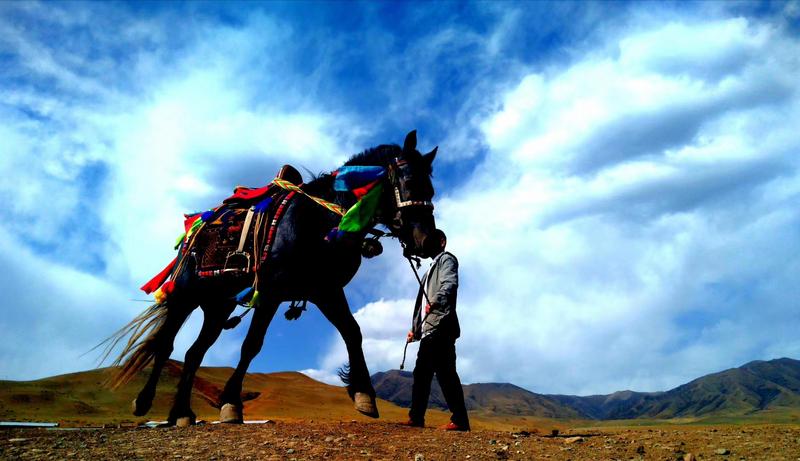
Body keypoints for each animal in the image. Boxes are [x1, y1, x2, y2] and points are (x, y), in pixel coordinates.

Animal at [103, 130, 438, 426]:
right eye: (409, 182)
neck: (319, 222)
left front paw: (364, 396)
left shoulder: (325, 290)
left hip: (218, 306)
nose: (431, 240)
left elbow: (352, 332)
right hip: (186, 296)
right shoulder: (272, 291)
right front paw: (230, 404)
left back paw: (182, 413)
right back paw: (144, 402)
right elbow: (252, 345)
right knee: (165, 346)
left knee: (194, 352)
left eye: (432, 190)